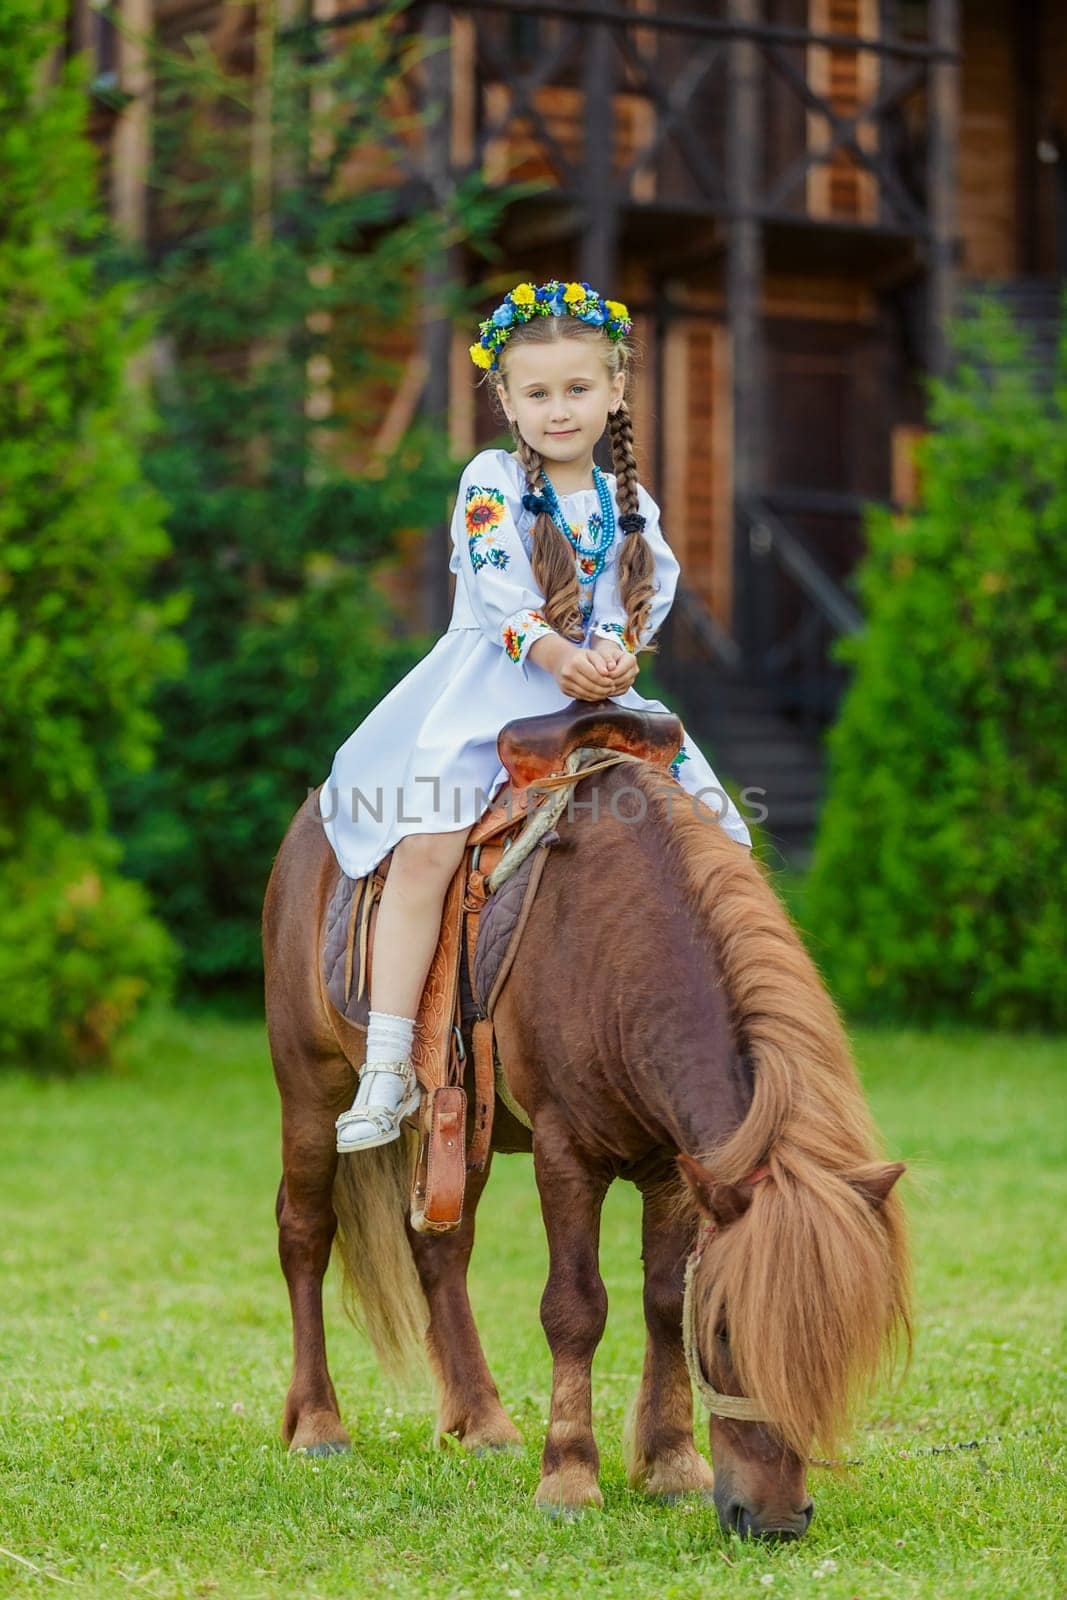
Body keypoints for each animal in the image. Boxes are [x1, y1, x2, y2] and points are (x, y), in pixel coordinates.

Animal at [267, 755, 908, 1529]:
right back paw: (318, 1424)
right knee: (305, 1233)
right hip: (310, 1088)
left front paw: (670, 1463)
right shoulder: (566, 1155)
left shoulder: (675, 1171)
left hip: (461, 1126)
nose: (776, 1521)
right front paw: (569, 1476)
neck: (619, 952)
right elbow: (574, 1308)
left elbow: (661, 1301)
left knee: (440, 1250)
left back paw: (482, 1422)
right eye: (725, 1331)